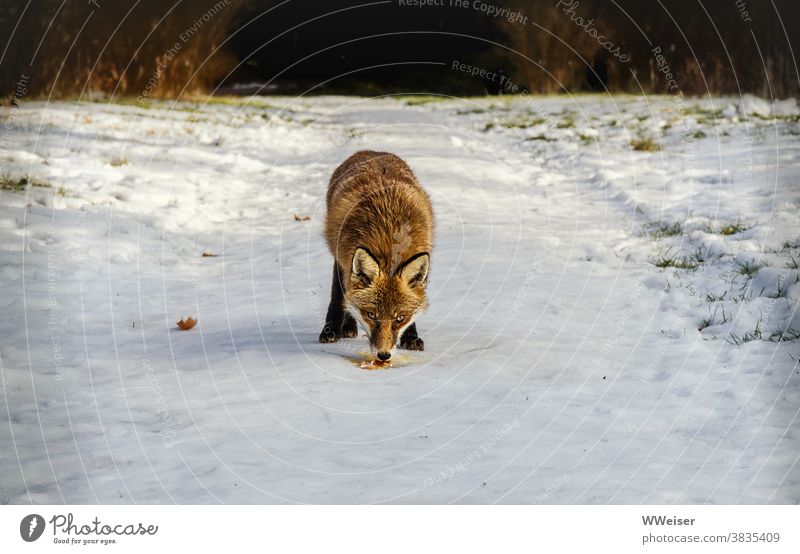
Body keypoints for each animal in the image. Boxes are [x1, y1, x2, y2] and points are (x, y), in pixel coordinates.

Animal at [318, 149, 434, 360]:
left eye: (400, 318)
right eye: (371, 315)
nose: (383, 355)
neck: (388, 236)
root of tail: (371, 151)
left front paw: (411, 337)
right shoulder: (342, 255)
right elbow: (340, 295)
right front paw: (331, 330)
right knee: (341, 290)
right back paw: (340, 326)